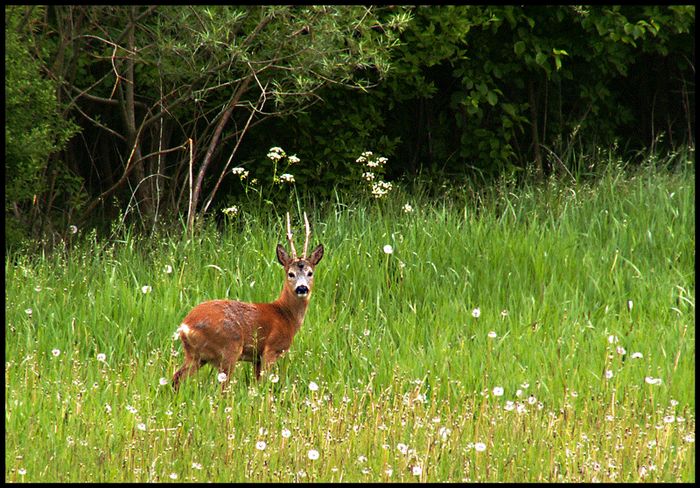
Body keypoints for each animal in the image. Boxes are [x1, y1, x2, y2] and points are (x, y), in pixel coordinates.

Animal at [171, 212, 324, 390]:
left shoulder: (256, 357)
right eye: (290, 274)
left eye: (310, 273)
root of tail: (185, 326)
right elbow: (264, 384)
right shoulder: (271, 348)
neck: (286, 315)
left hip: (195, 355)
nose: (302, 288)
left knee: (176, 378)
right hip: (229, 348)